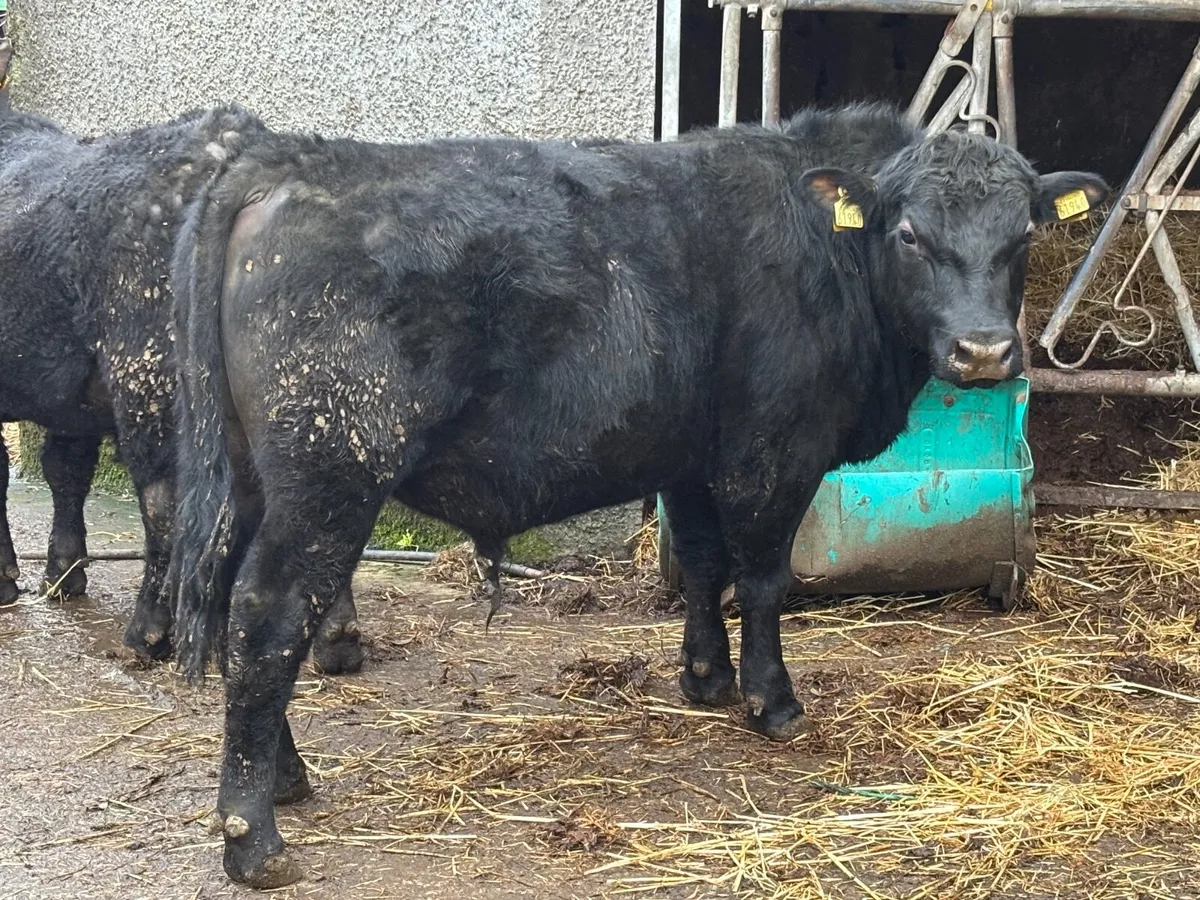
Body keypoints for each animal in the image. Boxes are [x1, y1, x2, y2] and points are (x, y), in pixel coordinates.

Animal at [0, 104, 366, 674]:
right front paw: (63, 572)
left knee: (165, 502)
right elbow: (66, 471)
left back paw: (149, 630)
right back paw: (335, 639)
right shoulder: (74, 399)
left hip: (153, 382)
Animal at [167, 103, 1107, 887]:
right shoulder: (775, 451)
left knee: (237, 608)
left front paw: (705, 678)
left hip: (254, 481)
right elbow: (763, 577)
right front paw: (773, 701)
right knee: (268, 616)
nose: (983, 351)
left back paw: (283, 778)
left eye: (1023, 236)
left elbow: (702, 562)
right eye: (910, 234)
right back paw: (254, 838)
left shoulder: (690, 457)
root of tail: (288, 162)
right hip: (330, 475)